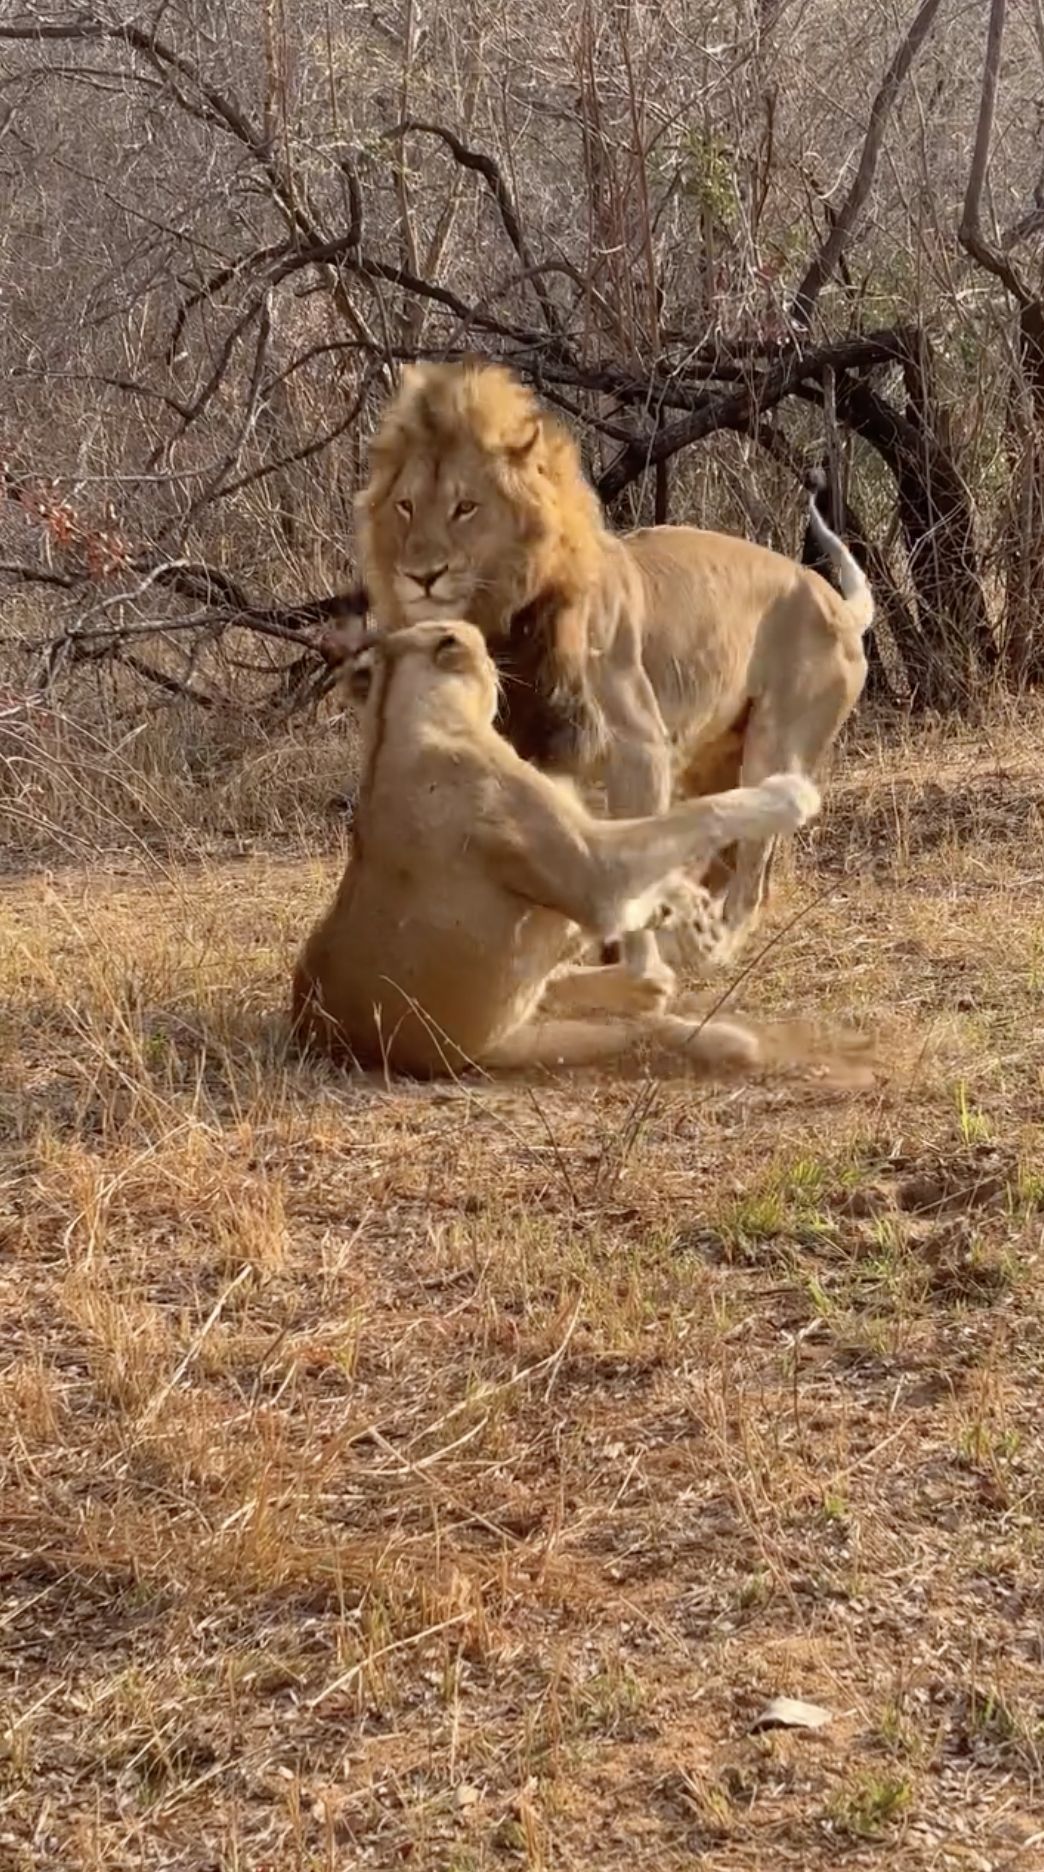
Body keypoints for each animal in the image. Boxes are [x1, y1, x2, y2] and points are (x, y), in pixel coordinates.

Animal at [291, 619, 822, 1078]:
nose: (497, 663)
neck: (403, 712)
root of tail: (310, 1030)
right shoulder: (594, 873)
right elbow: (697, 812)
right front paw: (789, 794)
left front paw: (687, 909)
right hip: (520, 1041)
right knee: (643, 1027)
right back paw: (720, 1032)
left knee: (614, 987)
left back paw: (654, 968)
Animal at [355, 358, 872, 989]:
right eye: (405, 506)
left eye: (465, 507)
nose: (420, 575)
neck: (505, 623)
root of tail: (837, 603)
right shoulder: (541, 751)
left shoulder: (638, 745)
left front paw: (631, 961)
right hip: (713, 754)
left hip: (776, 745)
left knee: (754, 866)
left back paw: (716, 946)